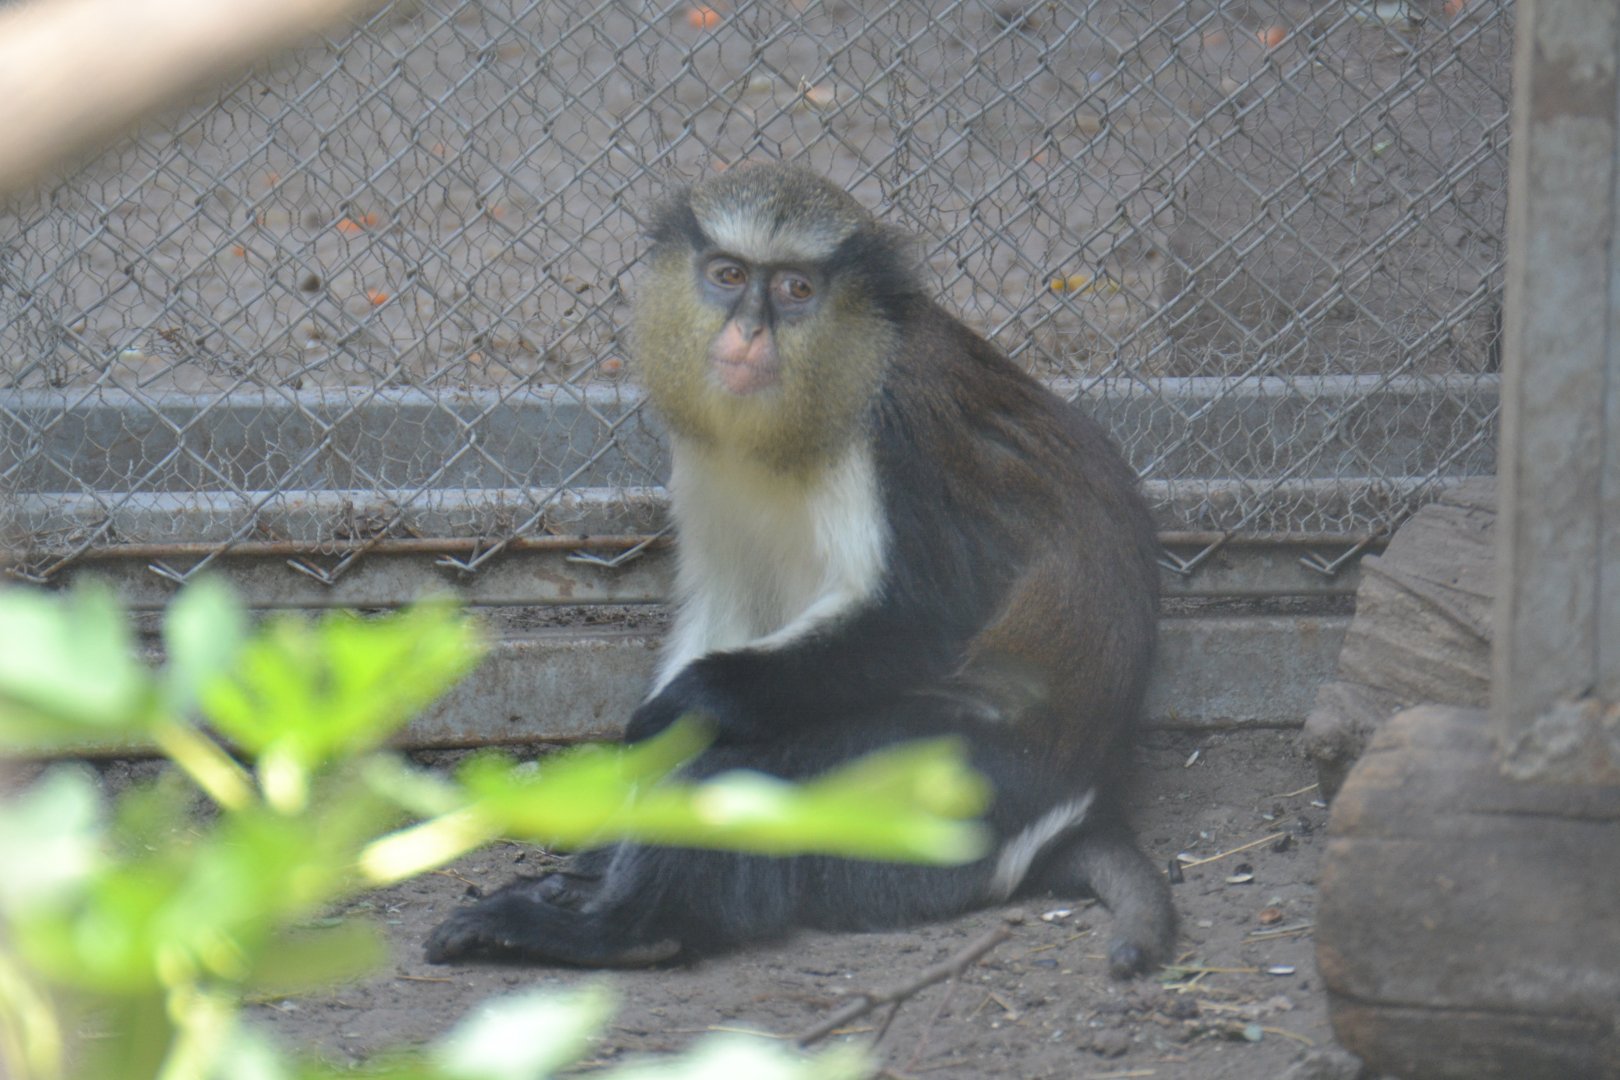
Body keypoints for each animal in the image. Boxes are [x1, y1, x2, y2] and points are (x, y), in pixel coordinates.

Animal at [425, 163, 1175, 977]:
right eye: (728, 275)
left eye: (795, 289)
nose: (749, 330)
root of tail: (1079, 805)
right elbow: (727, 606)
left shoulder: (896, 435)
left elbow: (917, 623)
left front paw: (679, 709)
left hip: (961, 781)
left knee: (743, 766)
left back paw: (620, 931)